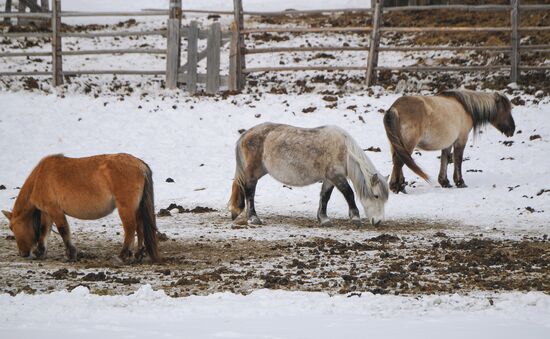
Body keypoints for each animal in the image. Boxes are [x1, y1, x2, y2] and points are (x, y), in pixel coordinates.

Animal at [2, 154, 161, 262]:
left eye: (11, 227)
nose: (22, 253)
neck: (40, 178)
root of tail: (139, 164)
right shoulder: (47, 212)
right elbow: (44, 230)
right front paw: (40, 252)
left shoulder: (55, 210)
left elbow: (63, 230)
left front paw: (70, 254)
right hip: (137, 208)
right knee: (140, 227)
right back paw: (138, 255)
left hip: (126, 208)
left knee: (130, 229)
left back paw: (122, 256)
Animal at [227, 123, 388, 227]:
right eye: (376, 196)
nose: (378, 221)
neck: (345, 151)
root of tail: (246, 134)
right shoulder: (337, 177)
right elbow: (349, 194)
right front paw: (355, 218)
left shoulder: (329, 179)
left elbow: (325, 197)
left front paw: (323, 219)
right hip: (253, 173)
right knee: (250, 192)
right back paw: (253, 218)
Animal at [384, 89, 516, 194]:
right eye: (506, 110)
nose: (512, 129)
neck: (465, 107)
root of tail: (394, 108)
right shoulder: (460, 140)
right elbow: (458, 160)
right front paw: (460, 182)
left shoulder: (447, 143)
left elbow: (445, 159)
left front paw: (444, 182)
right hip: (408, 144)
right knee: (399, 161)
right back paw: (396, 187)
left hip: (396, 144)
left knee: (397, 161)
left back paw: (401, 186)